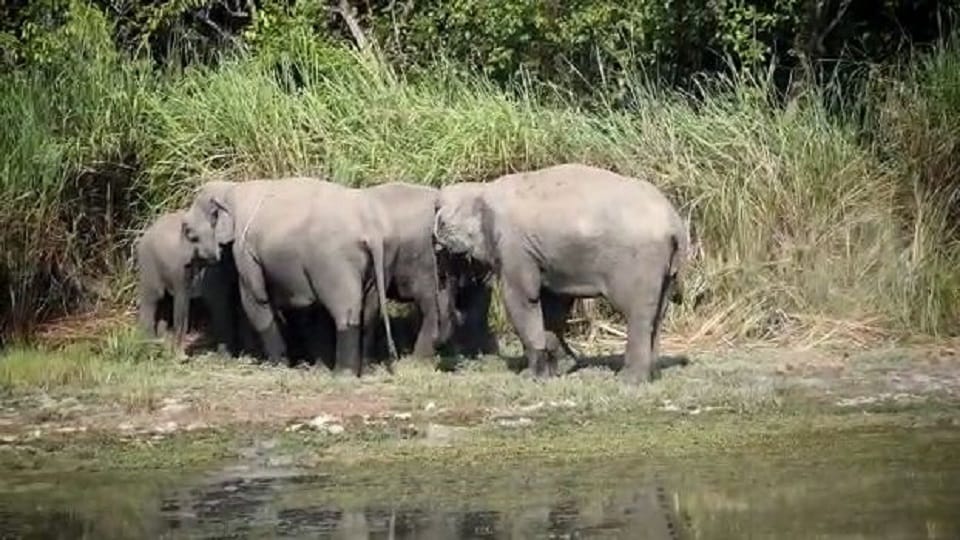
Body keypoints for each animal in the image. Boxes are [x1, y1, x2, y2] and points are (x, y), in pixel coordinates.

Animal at [135, 210, 253, 357]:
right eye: (194, 238)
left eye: (213, 234)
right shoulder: (180, 268)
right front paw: (181, 357)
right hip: (148, 263)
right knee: (153, 298)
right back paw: (149, 346)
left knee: (166, 302)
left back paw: (162, 345)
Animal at [180, 176, 397, 376]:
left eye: (190, 233)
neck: (230, 189)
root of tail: (371, 232)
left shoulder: (245, 248)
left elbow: (256, 298)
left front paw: (276, 366)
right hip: (377, 264)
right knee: (369, 311)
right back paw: (366, 370)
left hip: (335, 262)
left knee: (345, 311)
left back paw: (343, 375)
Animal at [432, 163, 689, 383]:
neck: (483, 190)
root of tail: (675, 224)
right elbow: (554, 304)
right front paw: (555, 369)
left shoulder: (514, 245)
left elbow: (522, 298)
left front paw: (534, 376)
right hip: (666, 269)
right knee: (658, 314)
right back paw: (652, 375)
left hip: (640, 262)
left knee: (638, 314)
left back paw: (629, 380)